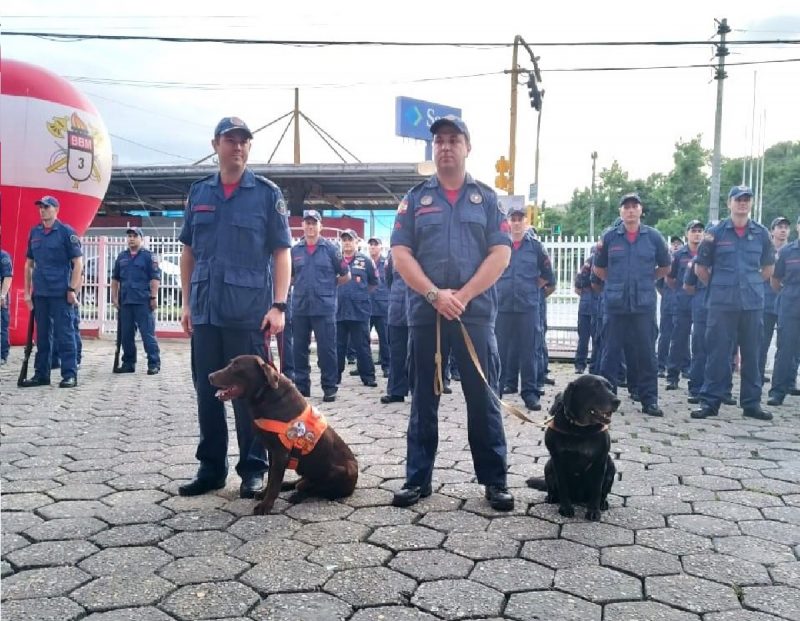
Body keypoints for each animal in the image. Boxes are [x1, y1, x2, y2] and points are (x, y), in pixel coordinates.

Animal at [208, 354, 358, 512]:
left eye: (236, 366)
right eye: (230, 364)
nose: (209, 376)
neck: (266, 394)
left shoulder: (281, 453)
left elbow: (274, 482)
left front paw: (265, 506)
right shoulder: (272, 452)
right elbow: (271, 478)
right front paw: (264, 495)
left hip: (343, 470)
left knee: (315, 488)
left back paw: (298, 495)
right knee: (302, 482)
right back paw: (288, 485)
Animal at [528, 370, 620, 520]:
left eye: (610, 387)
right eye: (595, 387)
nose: (617, 401)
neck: (580, 430)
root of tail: (578, 497)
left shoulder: (600, 461)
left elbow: (597, 490)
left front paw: (593, 511)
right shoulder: (557, 460)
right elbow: (563, 487)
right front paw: (565, 508)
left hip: (611, 465)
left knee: (603, 492)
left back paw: (602, 503)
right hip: (548, 465)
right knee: (553, 489)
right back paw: (551, 497)